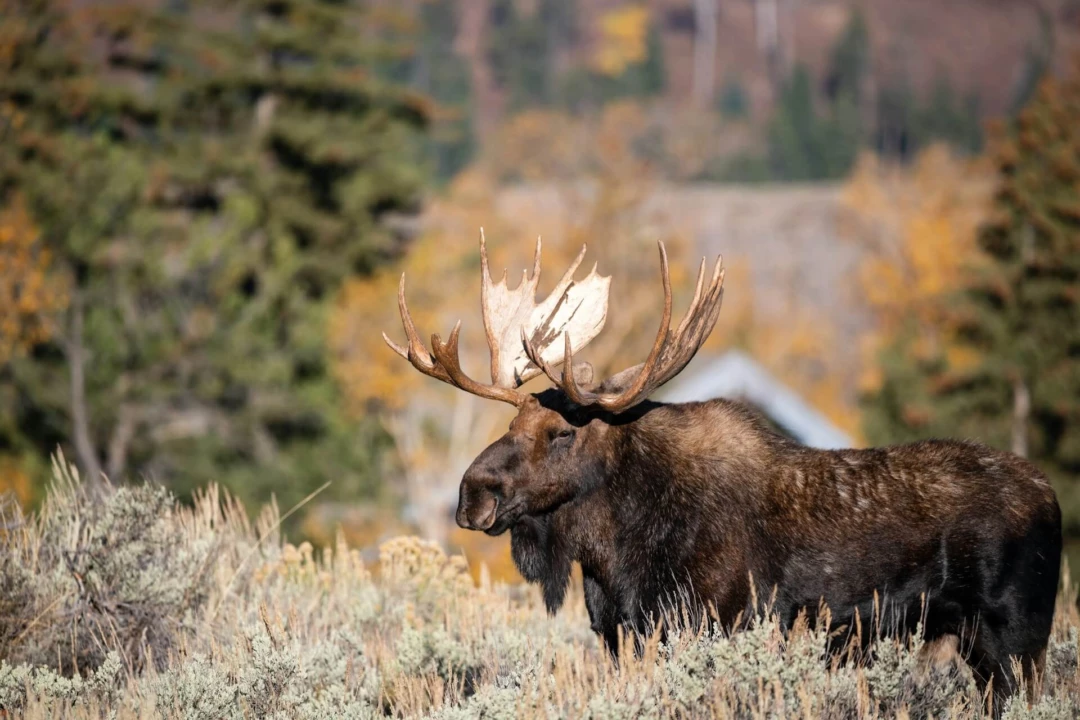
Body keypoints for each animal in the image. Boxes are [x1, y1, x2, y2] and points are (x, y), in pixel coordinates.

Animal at [384, 235, 1058, 703]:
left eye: (562, 433)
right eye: (510, 425)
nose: (472, 494)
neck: (614, 554)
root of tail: (1050, 496)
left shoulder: (718, 622)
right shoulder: (620, 633)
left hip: (1016, 636)